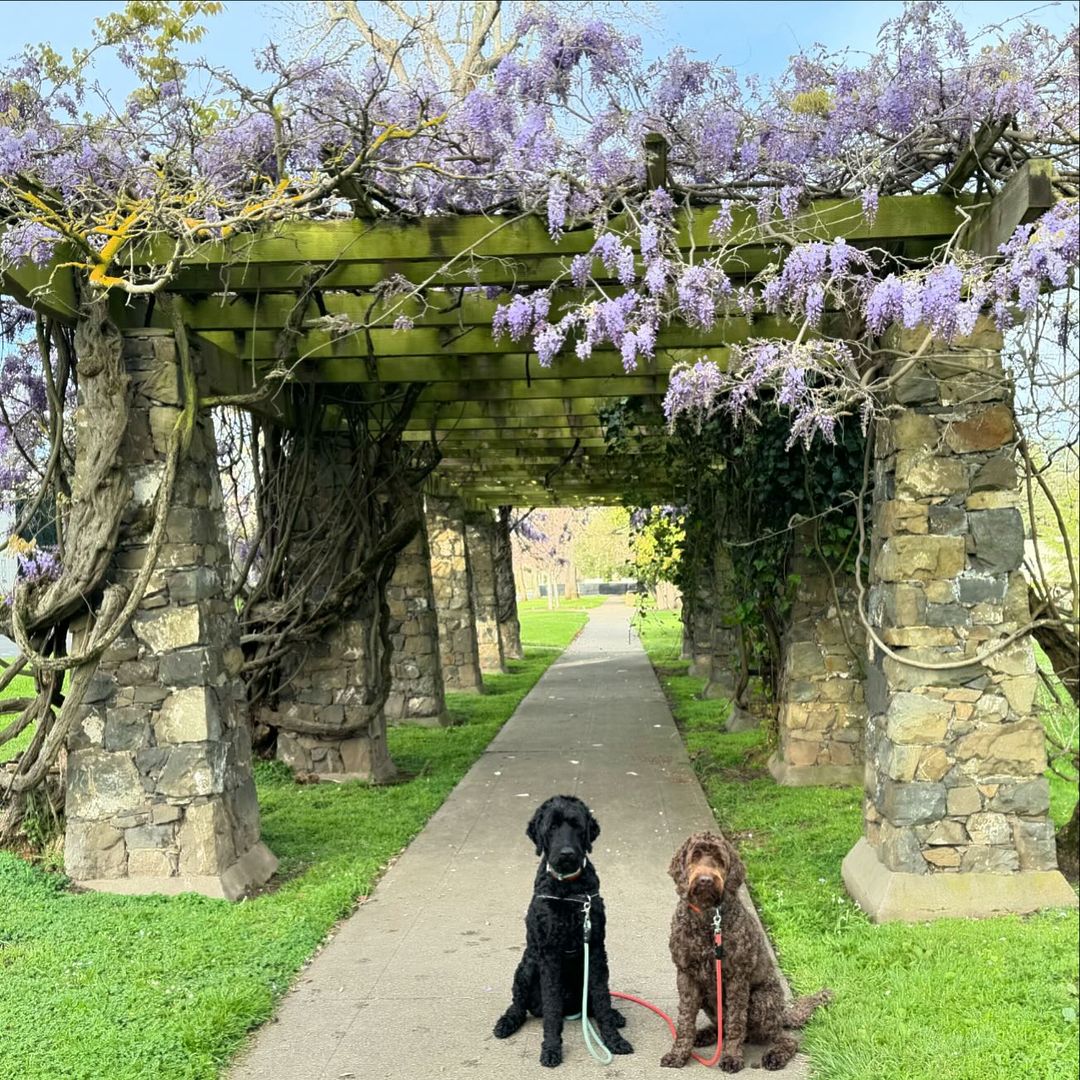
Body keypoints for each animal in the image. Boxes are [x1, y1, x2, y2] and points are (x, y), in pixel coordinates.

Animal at [492, 799, 630, 1067]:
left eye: (577, 825)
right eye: (552, 826)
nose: (567, 854)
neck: (568, 889)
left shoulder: (595, 951)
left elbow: (601, 998)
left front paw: (613, 1039)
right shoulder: (549, 954)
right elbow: (552, 1007)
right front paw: (551, 1048)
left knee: (596, 1003)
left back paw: (614, 1014)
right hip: (527, 967)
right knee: (518, 1005)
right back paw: (506, 1023)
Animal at [656, 829, 825, 1067]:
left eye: (719, 859)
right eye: (695, 856)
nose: (706, 880)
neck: (709, 918)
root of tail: (782, 1012)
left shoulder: (737, 978)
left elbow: (736, 1022)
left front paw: (731, 1057)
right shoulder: (686, 975)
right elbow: (685, 1020)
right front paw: (679, 1053)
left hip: (761, 1001)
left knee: (782, 1038)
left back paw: (776, 1054)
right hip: (708, 997)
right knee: (723, 1025)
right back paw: (706, 1034)